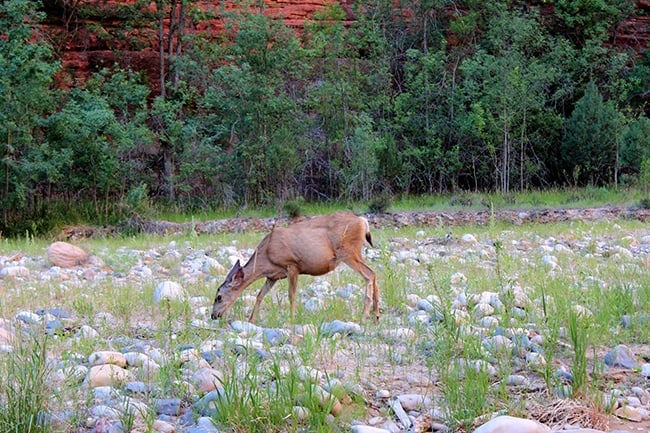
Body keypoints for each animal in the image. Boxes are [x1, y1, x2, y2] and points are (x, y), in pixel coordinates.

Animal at [210, 211, 378, 322]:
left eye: (219, 297)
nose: (213, 316)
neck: (266, 256)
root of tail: (363, 221)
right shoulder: (272, 276)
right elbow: (260, 295)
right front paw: (251, 320)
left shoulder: (292, 265)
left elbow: (291, 295)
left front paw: (292, 318)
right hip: (355, 252)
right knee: (374, 273)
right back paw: (376, 316)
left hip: (347, 252)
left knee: (369, 274)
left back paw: (364, 317)